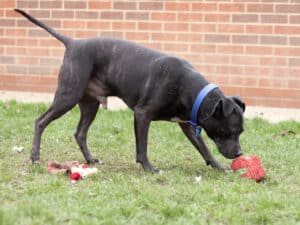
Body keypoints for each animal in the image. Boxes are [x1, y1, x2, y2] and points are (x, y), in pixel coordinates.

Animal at [15, 7, 245, 171]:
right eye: (232, 131)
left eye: (241, 132)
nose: (239, 154)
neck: (189, 89)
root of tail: (72, 43)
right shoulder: (142, 114)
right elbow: (142, 146)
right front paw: (149, 168)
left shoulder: (187, 125)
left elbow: (203, 148)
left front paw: (217, 166)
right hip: (68, 96)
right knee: (40, 121)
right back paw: (34, 156)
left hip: (90, 104)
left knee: (80, 133)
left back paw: (90, 159)